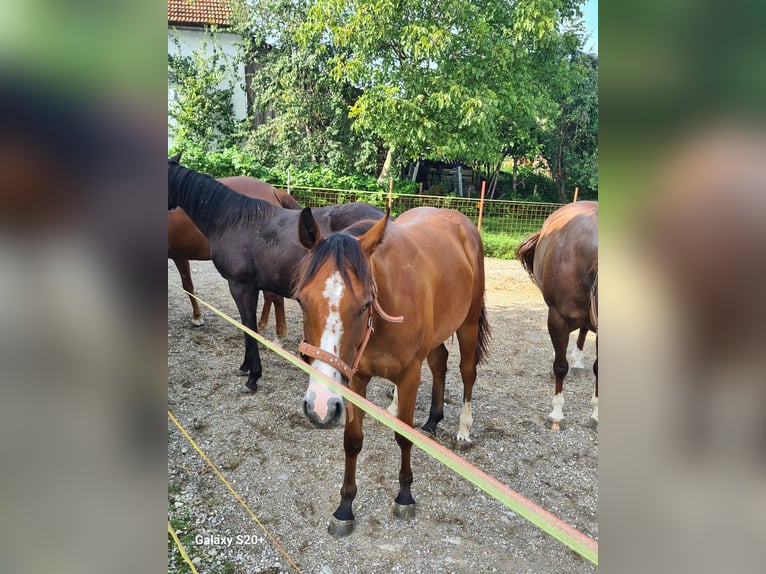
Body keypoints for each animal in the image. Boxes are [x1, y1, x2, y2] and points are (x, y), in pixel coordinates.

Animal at [170, 176, 302, 342]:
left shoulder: (178, 255)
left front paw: (197, 317)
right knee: (269, 296)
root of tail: (273, 190)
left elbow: (187, 286)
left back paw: (278, 336)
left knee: (275, 297)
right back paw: (262, 325)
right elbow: (188, 285)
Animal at [294, 209, 492, 536]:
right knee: (439, 362)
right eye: (301, 300)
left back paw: (463, 429)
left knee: (467, 372)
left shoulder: (410, 374)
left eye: (364, 305)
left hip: (468, 324)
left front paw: (404, 496)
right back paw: (431, 419)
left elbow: (403, 436)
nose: (320, 405)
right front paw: (344, 508)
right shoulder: (356, 377)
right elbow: (352, 440)